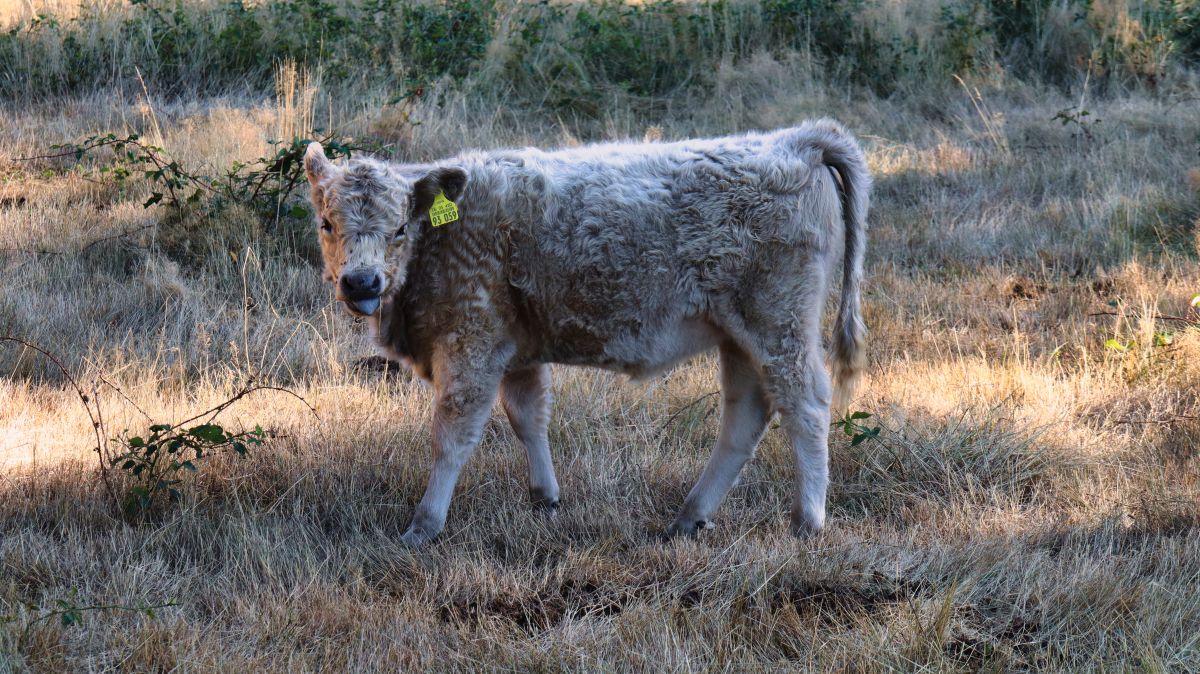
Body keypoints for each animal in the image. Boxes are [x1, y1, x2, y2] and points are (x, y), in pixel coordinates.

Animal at [304, 119, 868, 539]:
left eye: (399, 228)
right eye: (327, 223)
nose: (361, 282)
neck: (446, 233)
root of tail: (794, 141)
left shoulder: (471, 344)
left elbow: (453, 434)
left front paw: (423, 526)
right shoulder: (517, 349)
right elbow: (528, 417)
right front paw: (545, 499)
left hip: (779, 325)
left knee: (806, 405)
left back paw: (807, 521)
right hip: (739, 335)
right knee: (745, 417)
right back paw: (688, 517)